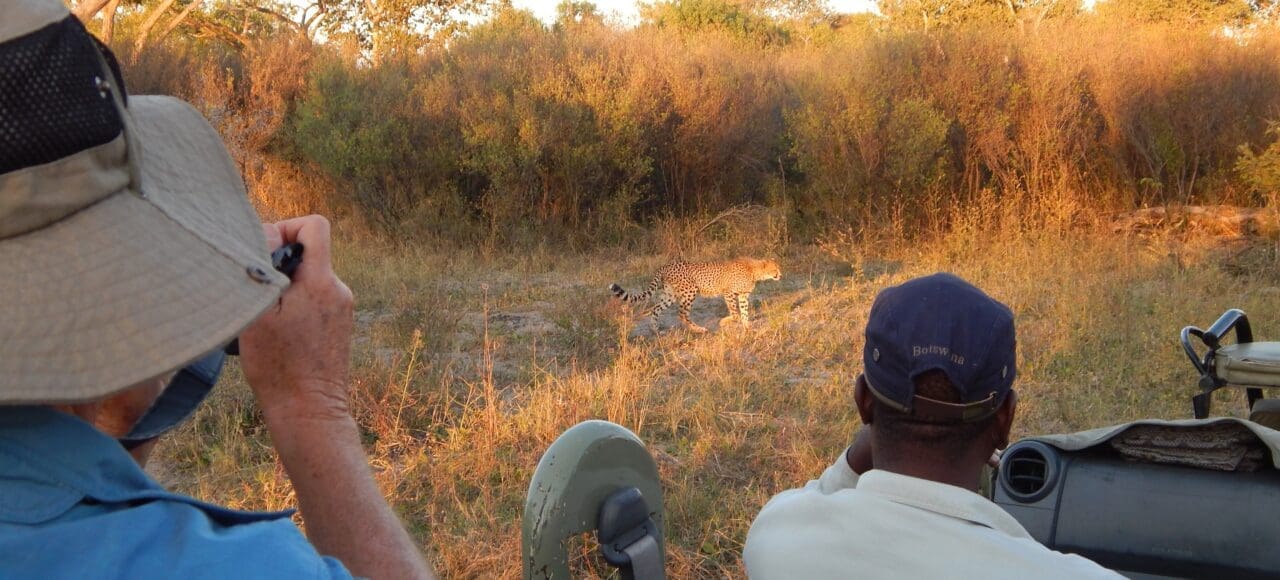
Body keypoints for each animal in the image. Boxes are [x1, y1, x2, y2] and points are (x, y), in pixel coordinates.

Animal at [609, 256, 778, 332]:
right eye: (775, 269)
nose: (780, 274)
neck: (755, 271)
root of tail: (666, 265)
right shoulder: (729, 292)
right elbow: (735, 312)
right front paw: (724, 322)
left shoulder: (742, 295)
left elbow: (744, 311)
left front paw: (747, 326)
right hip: (691, 291)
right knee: (682, 314)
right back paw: (698, 329)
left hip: (670, 294)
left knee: (656, 309)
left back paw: (656, 329)